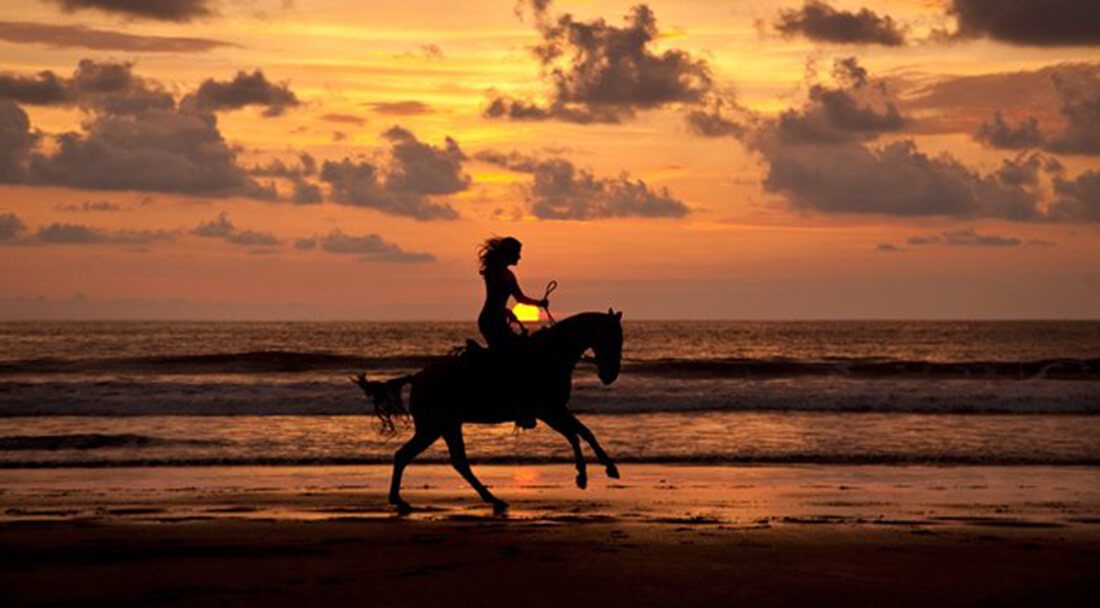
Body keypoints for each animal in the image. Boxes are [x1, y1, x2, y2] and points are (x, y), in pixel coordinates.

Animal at [356, 307, 624, 512]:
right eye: (611, 338)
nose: (610, 375)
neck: (551, 354)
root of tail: (417, 378)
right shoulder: (548, 410)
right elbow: (575, 435)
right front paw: (587, 474)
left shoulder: (555, 409)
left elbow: (584, 432)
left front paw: (603, 469)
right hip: (433, 427)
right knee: (408, 455)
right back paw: (399, 500)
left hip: (448, 426)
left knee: (455, 462)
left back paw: (491, 499)